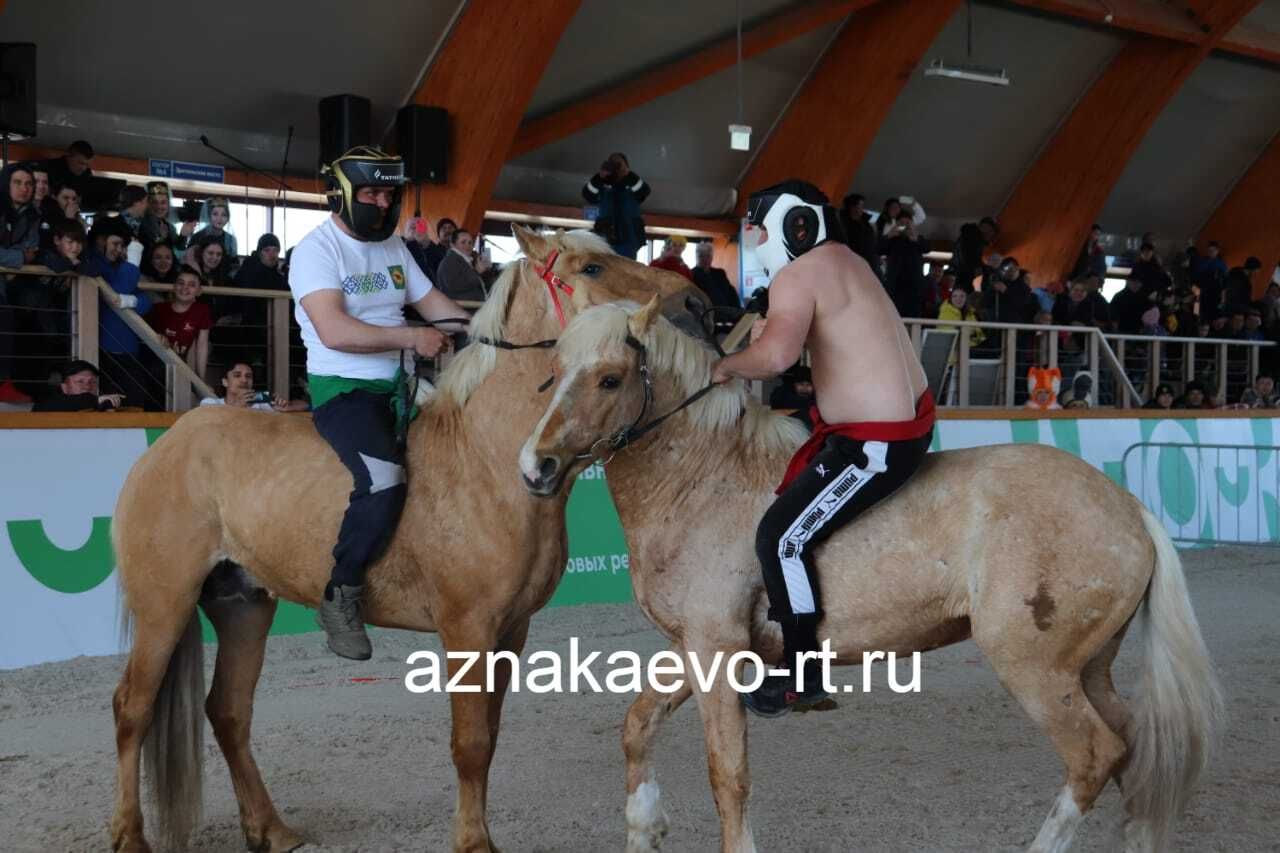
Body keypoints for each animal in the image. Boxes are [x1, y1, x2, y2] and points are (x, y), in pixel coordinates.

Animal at [111, 227, 706, 850]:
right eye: (592, 267)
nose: (698, 306)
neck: (488, 459)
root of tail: (168, 445)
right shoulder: (466, 630)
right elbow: (470, 745)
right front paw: (473, 841)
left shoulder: (511, 632)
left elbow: (489, 738)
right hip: (165, 605)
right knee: (132, 710)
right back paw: (130, 834)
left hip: (243, 605)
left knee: (228, 712)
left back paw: (270, 829)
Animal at [517, 298, 1218, 850]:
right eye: (551, 375)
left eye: (610, 380)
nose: (536, 468)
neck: (701, 478)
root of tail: (1126, 506)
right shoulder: (697, 647)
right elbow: (637, 726)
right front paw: (644, 828)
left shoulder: (716, 648)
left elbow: (727, 776)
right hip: (1089, 665)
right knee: (1133, 748)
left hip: (1035, 667)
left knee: (1093, 757)